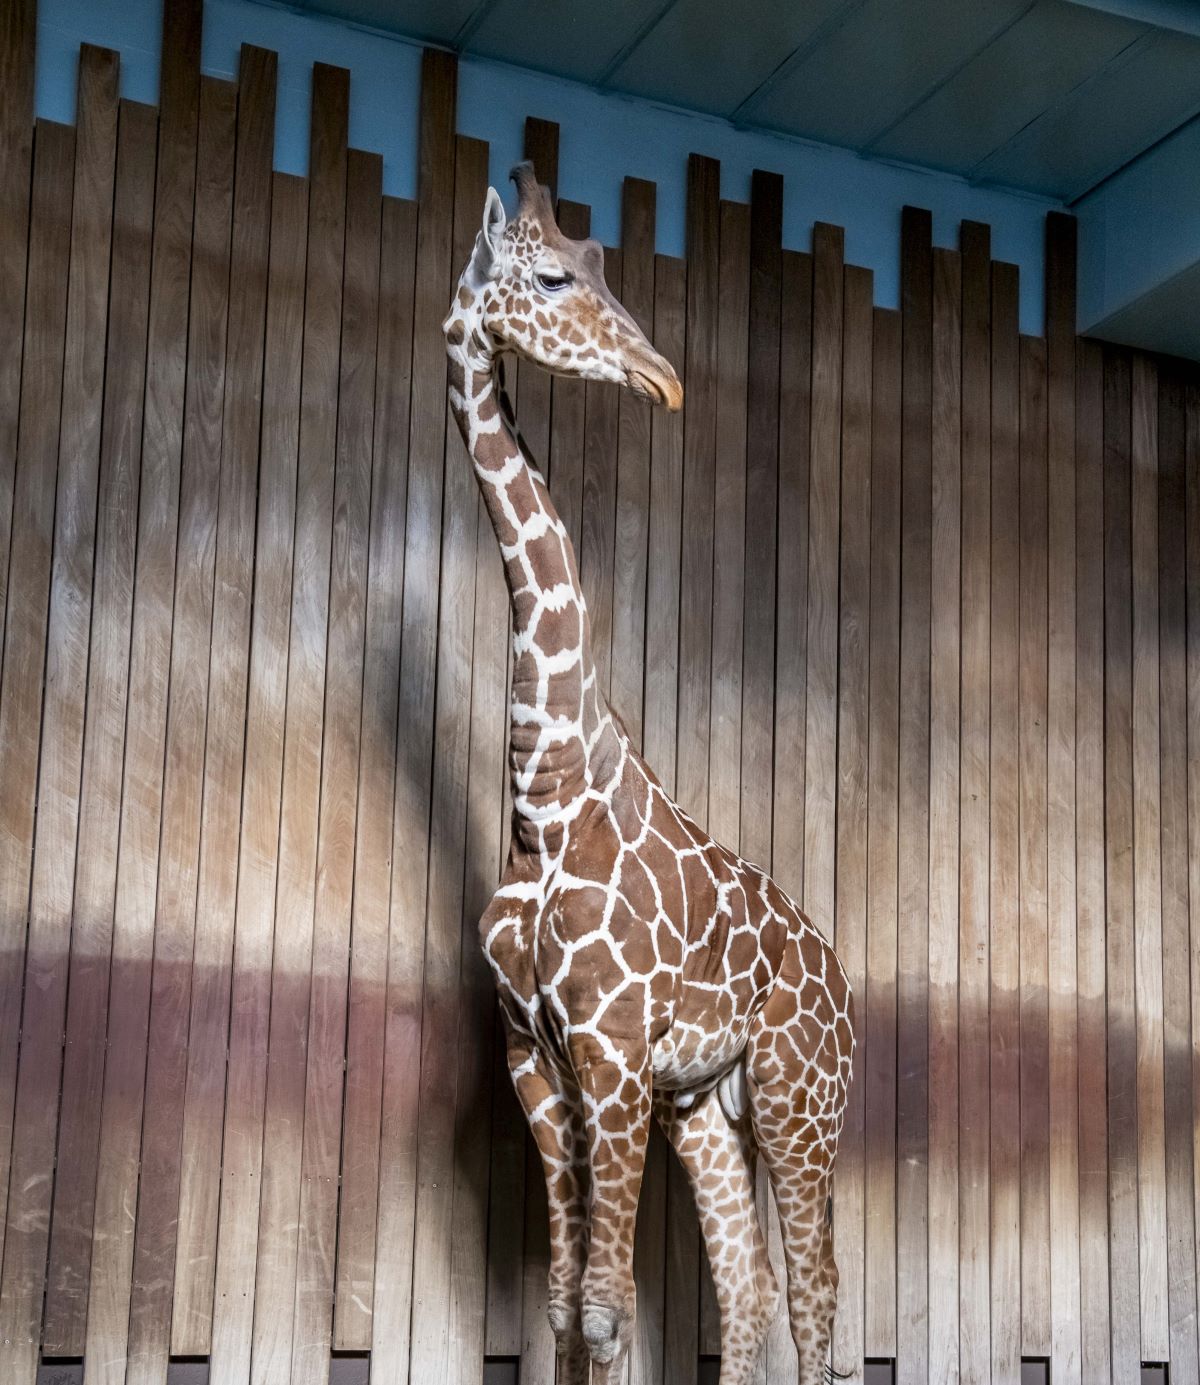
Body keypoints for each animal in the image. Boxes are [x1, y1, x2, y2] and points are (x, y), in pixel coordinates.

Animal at [443, 164, 853, 1385]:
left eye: (601, 266)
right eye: (551, 276)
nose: (665, 378)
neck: (545, 793)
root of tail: (849, 992)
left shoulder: (613, 1053)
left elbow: (610, 1307)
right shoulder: (540, 1056)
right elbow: (570, 1304)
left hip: (799, 1098)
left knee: (816, 1297)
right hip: (707, 1105)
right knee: (754, 1289)